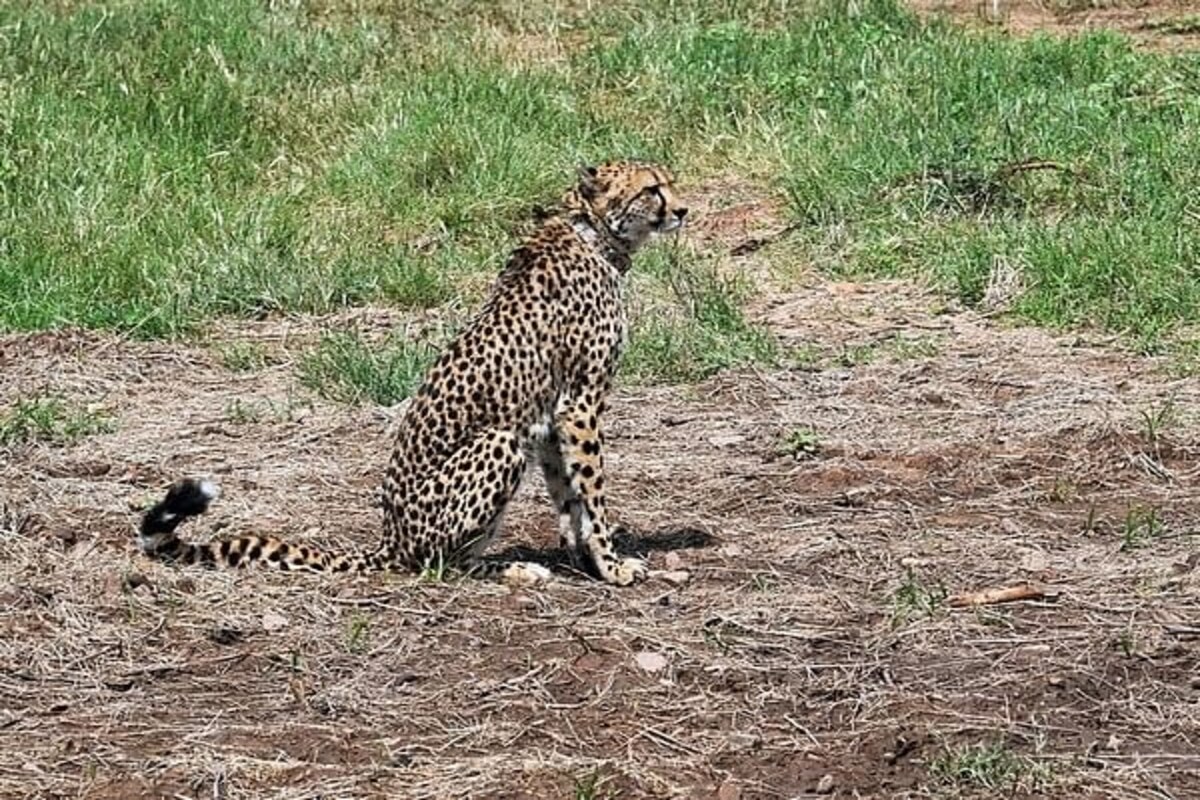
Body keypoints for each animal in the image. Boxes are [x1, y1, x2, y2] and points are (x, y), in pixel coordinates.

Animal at [137, 163, 691, 587]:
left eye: (667, 182)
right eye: (652, 188)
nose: (683, 210)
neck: (592, 233)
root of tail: (390, 539)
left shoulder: (553, 416)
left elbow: (568, 495)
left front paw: (584, 560)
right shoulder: (580, 404)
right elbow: (592, 494)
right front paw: (612, 566)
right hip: (499, 441)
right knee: (440, 564)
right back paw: (514, 572)